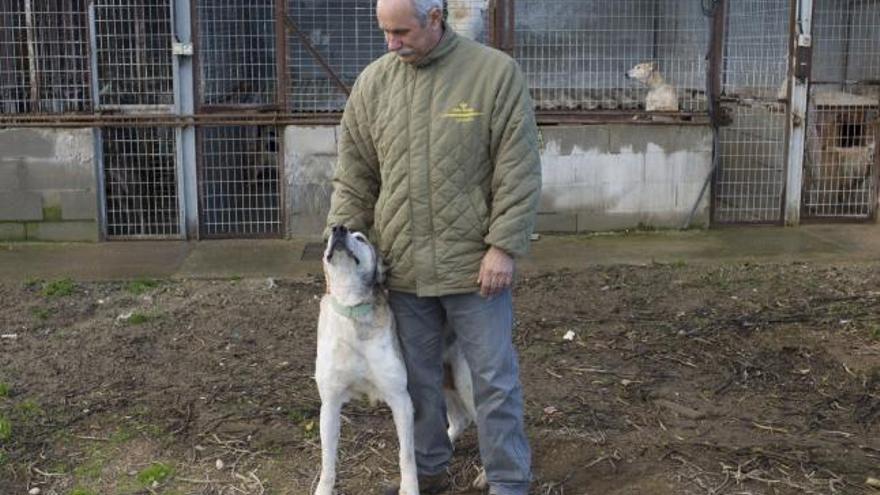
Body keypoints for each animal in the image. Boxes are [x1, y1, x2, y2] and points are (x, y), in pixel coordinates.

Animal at [314, 227, 482, 495]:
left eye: (360, 238)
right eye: (330, 234)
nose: (338, 228)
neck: (353, 310)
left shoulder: (400, 399)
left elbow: (407, 456)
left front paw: (410, 488)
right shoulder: (330, 403)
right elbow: (327, 461)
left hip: (466, 386)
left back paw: (486, 476)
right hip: (442, 382)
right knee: (460, 419)